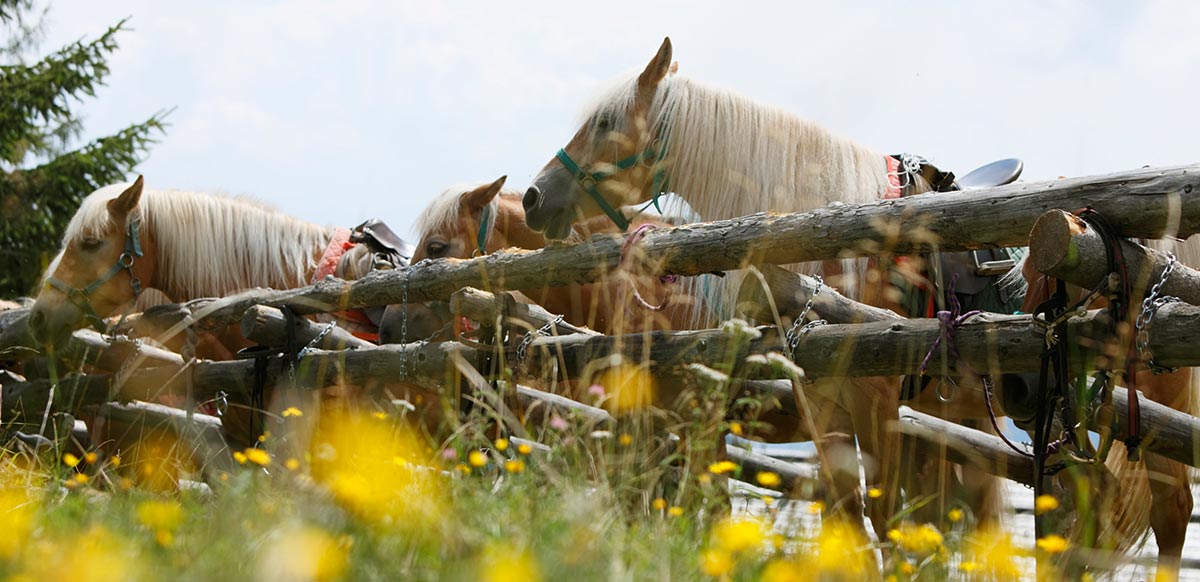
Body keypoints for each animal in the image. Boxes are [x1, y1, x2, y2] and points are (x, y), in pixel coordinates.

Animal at [523, 38, 1012, 542]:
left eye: (606, 121)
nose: (533, 197)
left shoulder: (873, 401)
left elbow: (881, 519)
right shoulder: (822, 403)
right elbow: (846, 516)